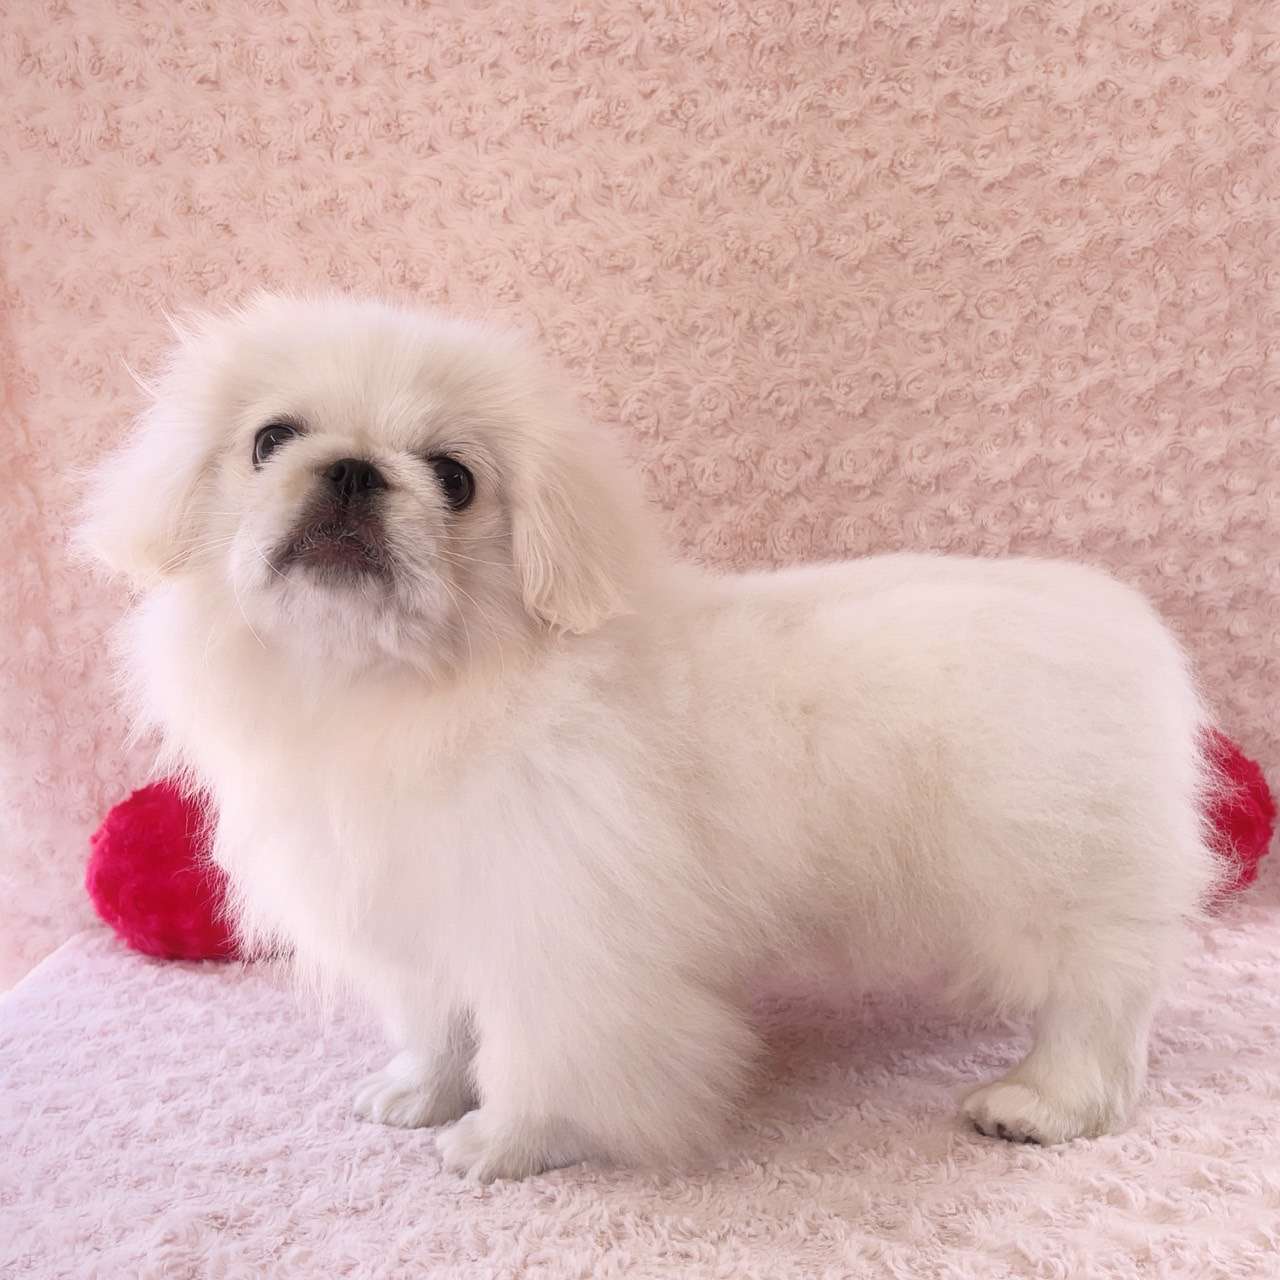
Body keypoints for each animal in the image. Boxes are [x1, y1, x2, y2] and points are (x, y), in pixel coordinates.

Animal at [82, 293, 1220, 1181]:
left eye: (454, 477)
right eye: (271, 439)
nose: (355, 470)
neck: (398, 691)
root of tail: (1121, 624)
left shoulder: (557, 935)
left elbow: (535, 1054)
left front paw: (502, 1143)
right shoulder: (424, 914)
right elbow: (439, 1026)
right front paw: (420, 1095)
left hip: (1053, 889)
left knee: (1102, 1000)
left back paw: (1041, 1103)